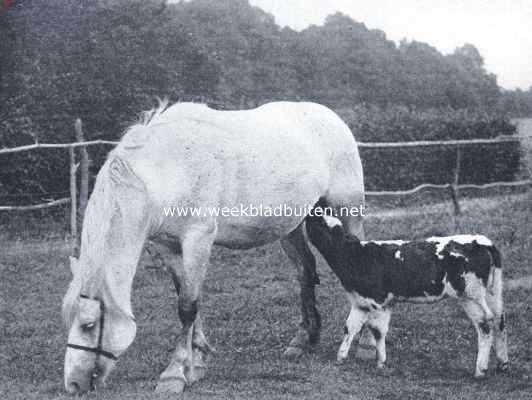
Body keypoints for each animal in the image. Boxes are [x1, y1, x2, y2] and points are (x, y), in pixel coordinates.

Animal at [59, 101, 366, 394]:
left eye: (88, 325)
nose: (73, 384)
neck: (166, 167)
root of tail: (330, 117)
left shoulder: (198, 239)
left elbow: (187, 307)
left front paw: (174, 374)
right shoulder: (169, 247)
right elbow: (187, 299)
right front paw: (196, 362)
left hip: (347, 212)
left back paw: (364, 347)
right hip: (292, 225)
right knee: (305, 272)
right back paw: (302, 341)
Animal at [304, 214, 508, 376]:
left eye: (321, 222)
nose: (310, 213)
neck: (354, 255)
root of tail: (481, 240)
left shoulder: (379, 302)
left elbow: (378, 331)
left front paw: (381, 363)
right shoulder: (360, 302)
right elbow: (350, 328)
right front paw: (341, 357)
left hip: (469, 294)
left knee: (485, 323)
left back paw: (480, 369)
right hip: (493, 291)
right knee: (500, 319)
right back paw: (502, 364)